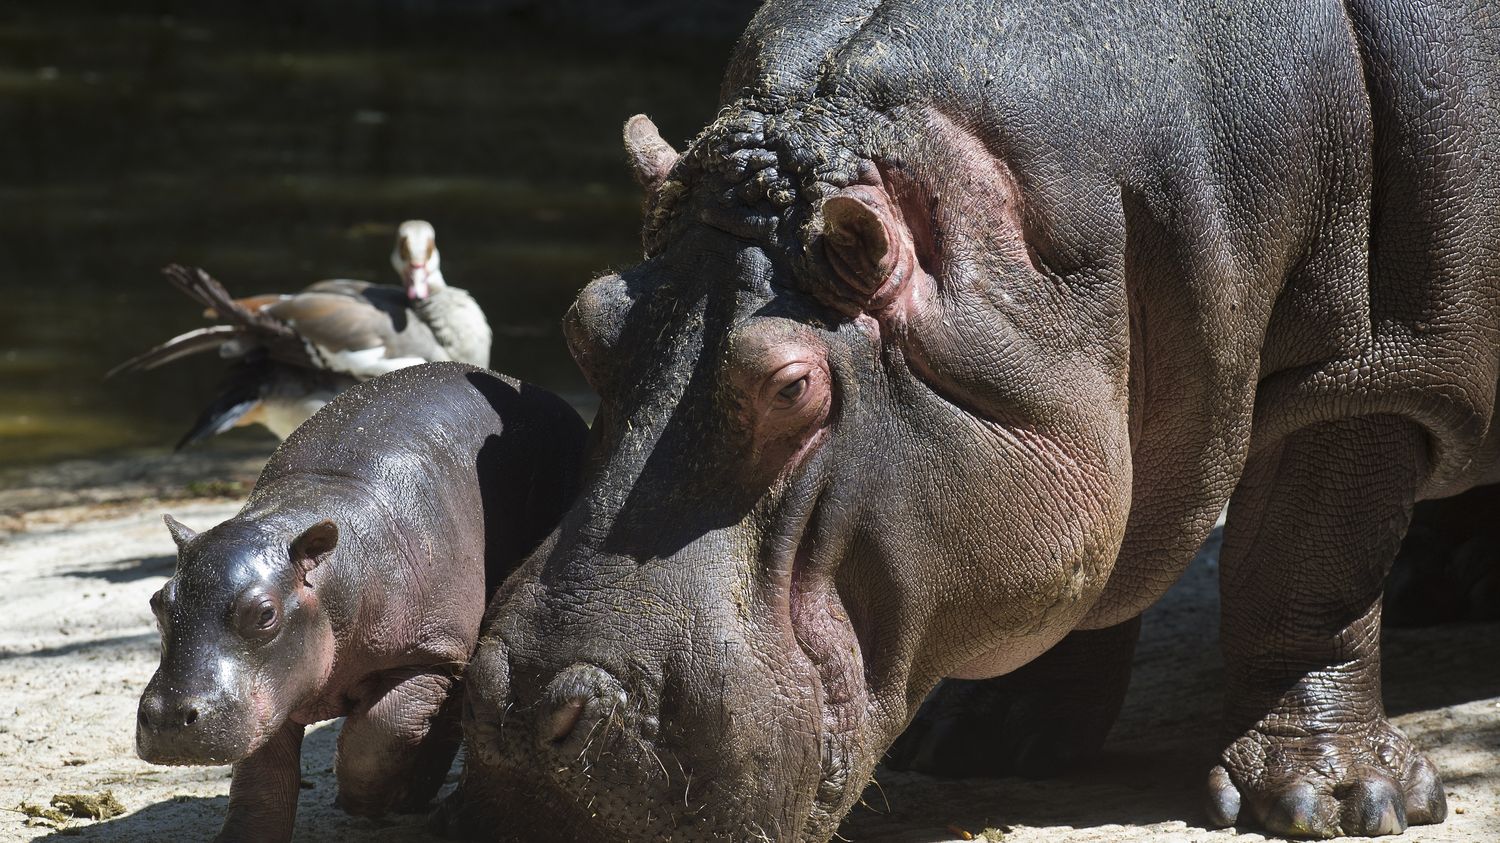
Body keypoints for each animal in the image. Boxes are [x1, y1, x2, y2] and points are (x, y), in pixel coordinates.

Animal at [136, 361, 585, 840]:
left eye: (265, 614)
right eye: (158, 602)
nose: (166, 717)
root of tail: (531, 386)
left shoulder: (430, 656)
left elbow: (375, 735)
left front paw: (363, 803)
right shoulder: (269, 695)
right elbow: (262, 784)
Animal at [450, 3, 1494, 834]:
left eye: (791, 386)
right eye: (585, 321)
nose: (522, 713)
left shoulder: (1369, 373)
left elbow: (1302, 569)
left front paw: (1336, 803)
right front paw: (986, 740)